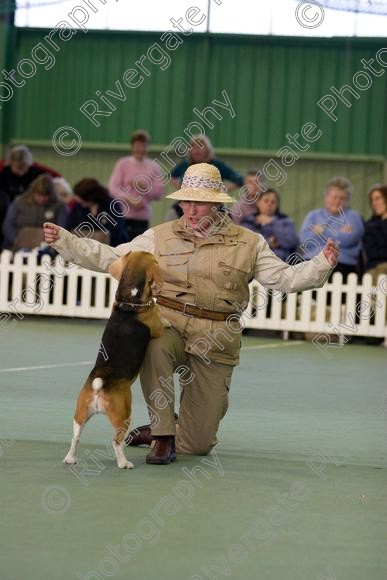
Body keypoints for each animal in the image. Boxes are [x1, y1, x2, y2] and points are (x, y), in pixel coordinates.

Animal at [63, 251, 163, 468]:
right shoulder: (158, 328)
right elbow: (163, 322)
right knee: (116, 442)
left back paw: (70, 458)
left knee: (75, 437)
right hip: (124, 416)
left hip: (80, 413)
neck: (129, 300)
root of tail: (99, 384)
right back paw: (124, 463)